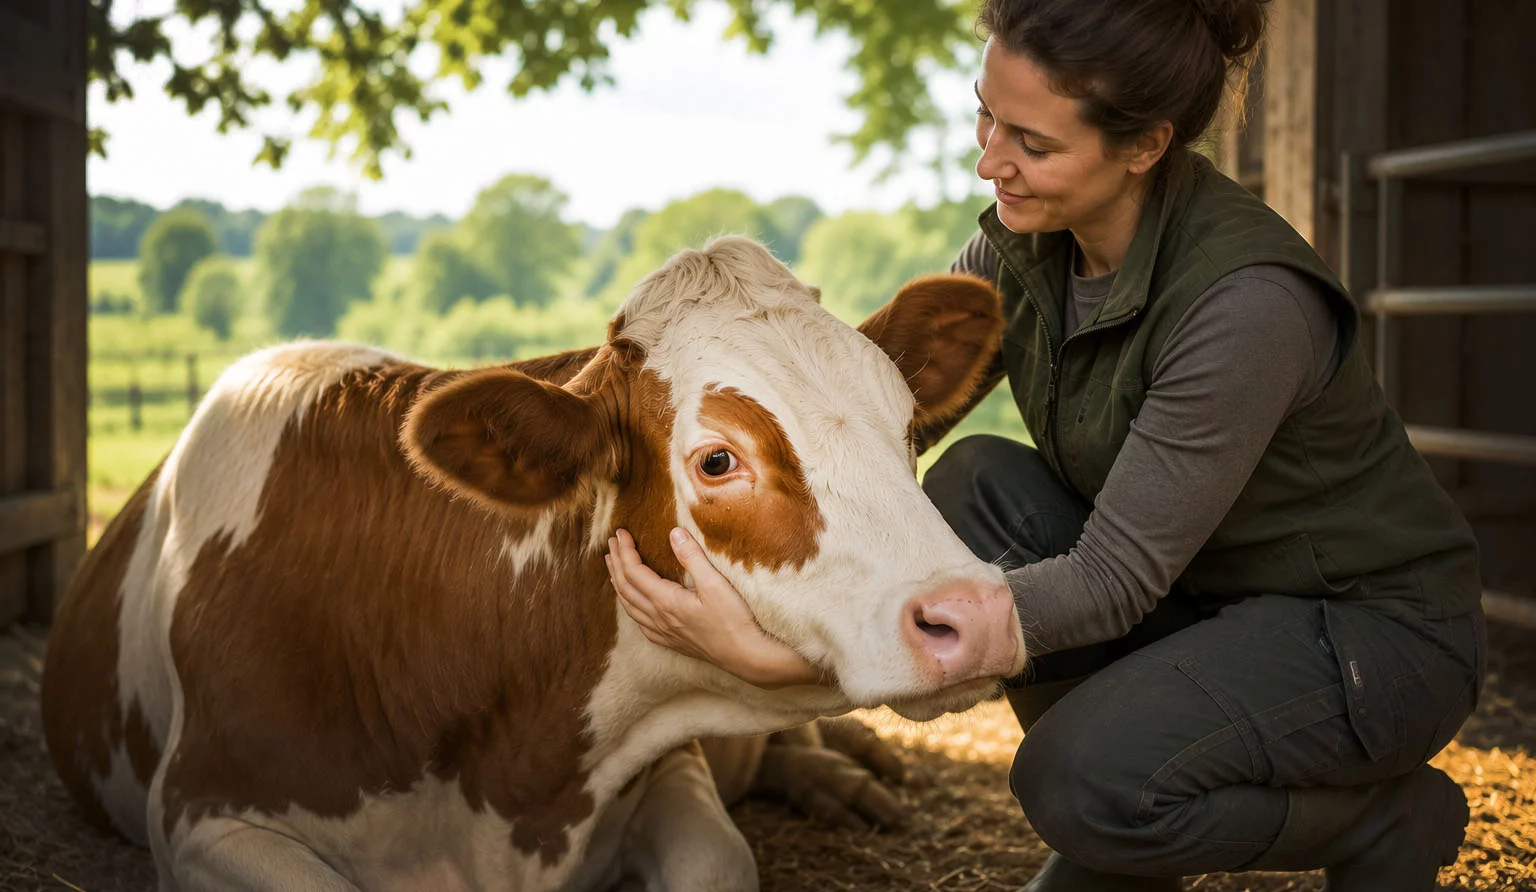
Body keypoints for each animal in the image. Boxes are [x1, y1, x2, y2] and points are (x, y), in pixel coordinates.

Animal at [40, 236, 1023, 892]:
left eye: (907, 426)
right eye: (717, 461)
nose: (974, 613)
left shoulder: (671, 774)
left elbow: (720, 858)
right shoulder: (204, 817)